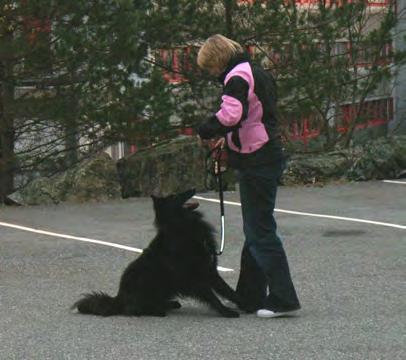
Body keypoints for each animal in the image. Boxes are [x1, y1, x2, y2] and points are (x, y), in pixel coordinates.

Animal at [72, 188, 241, 318]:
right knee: (132, 310)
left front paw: (243, 303)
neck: (182, 226)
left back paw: (168, 304)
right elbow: (212, 297)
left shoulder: (210, 270)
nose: (194, 188)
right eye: (173, 196)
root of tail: (118, 299)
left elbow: (228, 290)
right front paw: (226, 312)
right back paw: (157, 310)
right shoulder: (194, 277)